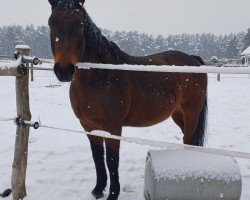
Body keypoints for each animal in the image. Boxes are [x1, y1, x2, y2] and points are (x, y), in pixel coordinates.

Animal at [47, 0, 208, 199]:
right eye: (51, 22)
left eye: (80, 23)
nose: (64, 71)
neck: (102, 75)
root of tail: (194, 60)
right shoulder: (89, 127)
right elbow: (97, 158)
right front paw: (98, 190)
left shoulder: (113, 127)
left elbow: (111, 161)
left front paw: (113, 193)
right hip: (178, 115)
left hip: (191, 113)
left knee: (190, 140)